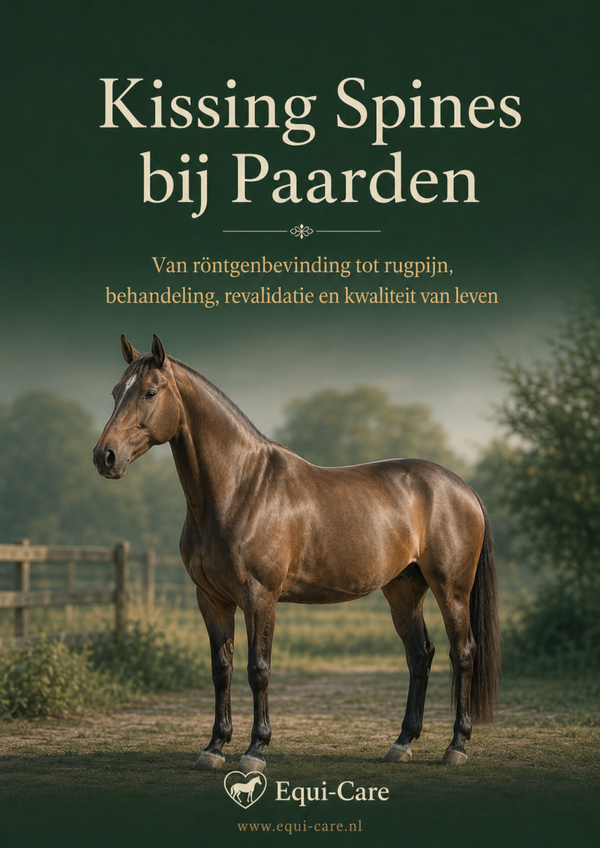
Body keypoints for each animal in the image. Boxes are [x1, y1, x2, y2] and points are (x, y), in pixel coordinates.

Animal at [93, 335, 500, 773]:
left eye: (150, 392)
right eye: (115, 392)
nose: (105, 456)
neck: (241, 487)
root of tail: (462, 488)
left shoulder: (260, 596)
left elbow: (258, 669)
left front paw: (255, 750)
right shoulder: (212, 600)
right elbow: (222, 670)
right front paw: (214, 747)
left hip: (451, 590)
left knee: (463, 654)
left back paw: (456, 746)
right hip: (404, 591)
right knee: (420, 656)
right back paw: (402, 743)